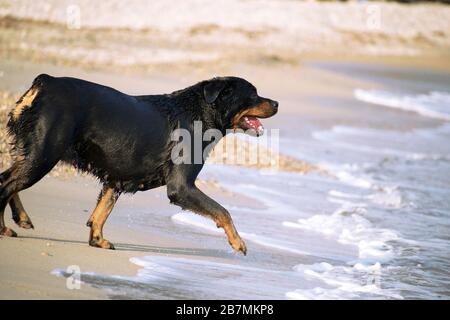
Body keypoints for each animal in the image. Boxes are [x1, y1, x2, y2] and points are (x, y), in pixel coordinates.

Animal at [0, 74, 278, 254]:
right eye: (253, 94)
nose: (276, 103)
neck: (201, 113)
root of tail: (45, 82)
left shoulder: (116, 177)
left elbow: (101, 211)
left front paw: (97, 240)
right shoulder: (182, 186)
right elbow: (223, 211)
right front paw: (238, 242)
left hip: (34, 154)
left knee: (7, 178)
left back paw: (21, 216)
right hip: (44, 155)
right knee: (6, 186)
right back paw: (4, 228)